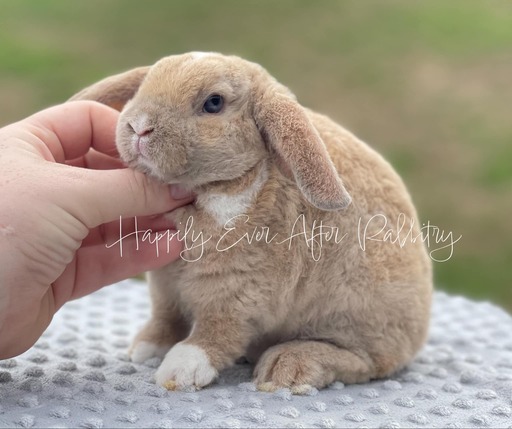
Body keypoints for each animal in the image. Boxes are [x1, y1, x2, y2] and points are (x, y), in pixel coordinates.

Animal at [71, 51, 432, 392]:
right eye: (144, 87)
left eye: (214, 103)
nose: (139, 127)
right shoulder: (165, 283)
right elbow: (166, 317)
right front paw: (146, 349)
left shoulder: (238, 291)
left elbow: (216, 332)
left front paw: (180, 371)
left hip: (358, 319)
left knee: (364, 361)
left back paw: (286, 367)